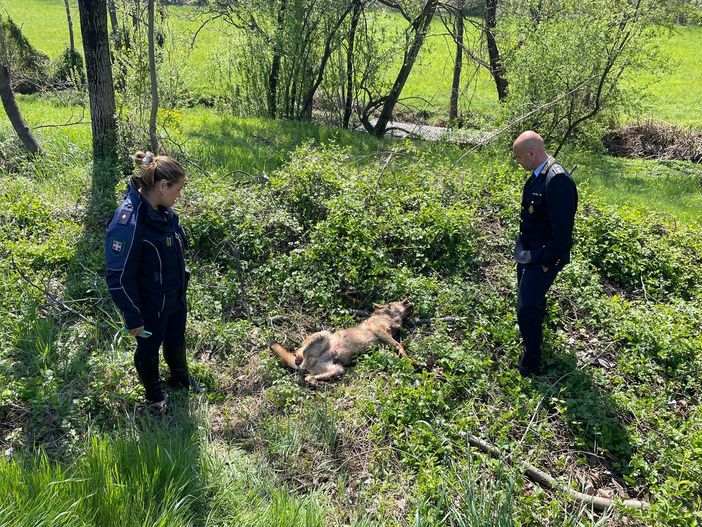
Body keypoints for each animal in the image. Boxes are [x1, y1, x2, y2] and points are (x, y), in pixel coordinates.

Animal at [270, 299, 413, 384]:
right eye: (393, 303)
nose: (408, 300)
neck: (387, 319)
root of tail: (307, 363)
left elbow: (395, 345)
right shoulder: (380, 331)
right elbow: (399, 344)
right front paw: (406, 357)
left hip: (338, 369)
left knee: (309, 376)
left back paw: (312, 380)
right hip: (323, 334)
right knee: (298, 350)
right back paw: (298, 357)